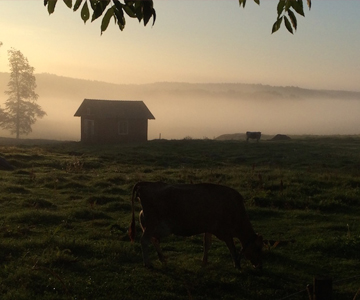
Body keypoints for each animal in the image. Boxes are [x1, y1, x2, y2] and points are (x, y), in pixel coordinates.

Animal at [129, 182, 262, 268]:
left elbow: (207, 244)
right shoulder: (225, 232)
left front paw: (204, 262)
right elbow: (232, 248)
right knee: (144, 240)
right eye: (257, 248)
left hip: (150, 223)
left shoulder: (209, 228)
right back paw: (148, 263)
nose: (258, 265)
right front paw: (237, 264)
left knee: (153, 240)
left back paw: (162, 258)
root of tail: (145, 184)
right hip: (153, 223)